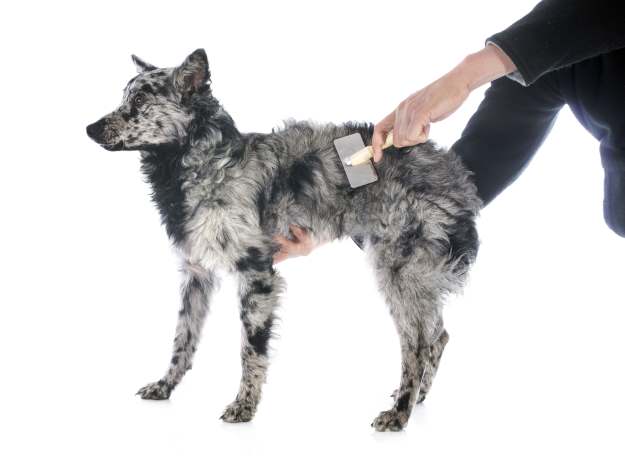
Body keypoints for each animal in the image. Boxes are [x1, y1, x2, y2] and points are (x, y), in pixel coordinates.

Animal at [85, 50, 480, 432]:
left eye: (139, 100)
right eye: (125, 96)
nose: (90, 128)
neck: (207, 163)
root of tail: (453, 171)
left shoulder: (256, 273)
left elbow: (251, 349)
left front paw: (244, 406)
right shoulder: (196, 272)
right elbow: (184, 338)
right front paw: (165, 386)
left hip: (397, 270)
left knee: (418, 344)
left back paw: (399, 412)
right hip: (414, 274)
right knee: (438, 335)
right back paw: (415, 397)